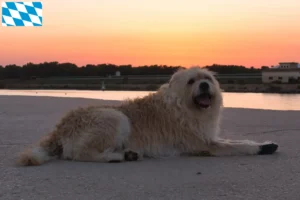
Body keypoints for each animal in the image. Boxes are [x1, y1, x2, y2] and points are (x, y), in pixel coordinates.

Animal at [17, 67, 278, 166]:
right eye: (192, 81)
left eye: (208, 79)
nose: (205, 86)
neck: (184, 106)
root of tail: (60, 127)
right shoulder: (204, 144)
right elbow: (238, 146)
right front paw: (260, 148)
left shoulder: (207, 136)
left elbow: (236, 140)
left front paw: (265, 143)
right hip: (115, 117)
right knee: (80, 154)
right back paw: (118, 157)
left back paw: (126, 153)